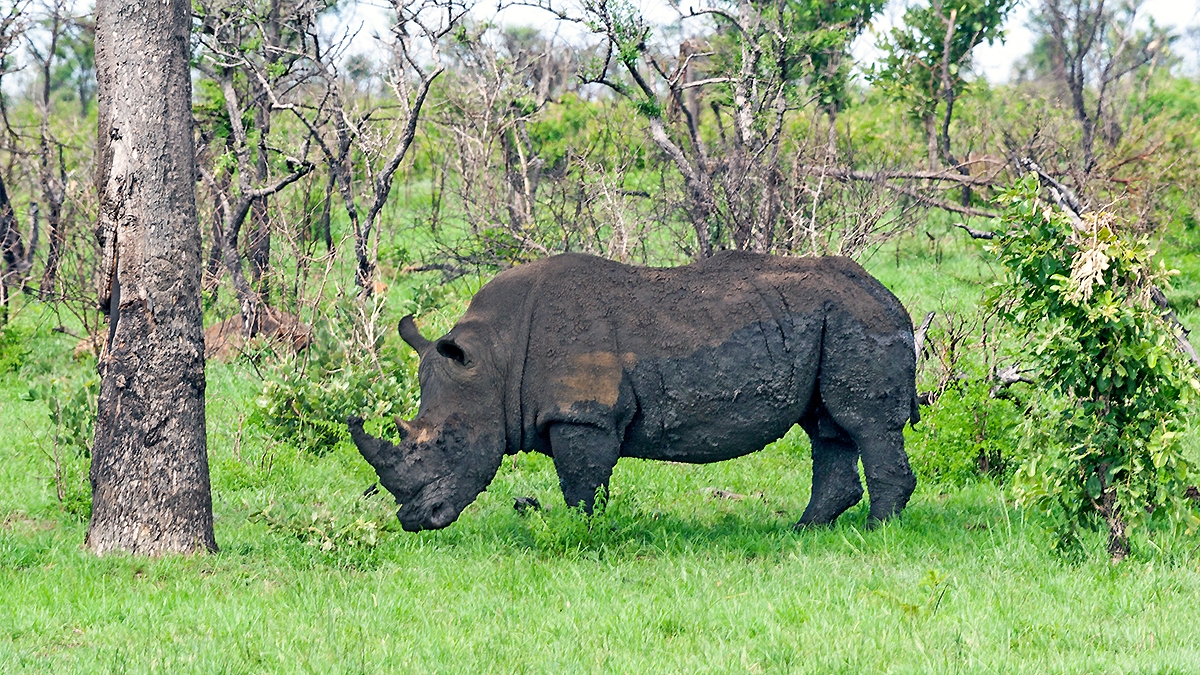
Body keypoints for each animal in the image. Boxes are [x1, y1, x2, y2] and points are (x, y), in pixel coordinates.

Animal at [348, 251, 919, 532]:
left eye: (449, 444)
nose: (414, 522)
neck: (493, 360)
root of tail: (886, 292)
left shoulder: (584, 415)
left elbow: (582, 485)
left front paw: (582, 535)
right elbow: (584, 482)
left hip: (857, 320)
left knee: (864, 424)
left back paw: (877, 532)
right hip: (834, 318)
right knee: (828, 428)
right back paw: (806, 531)